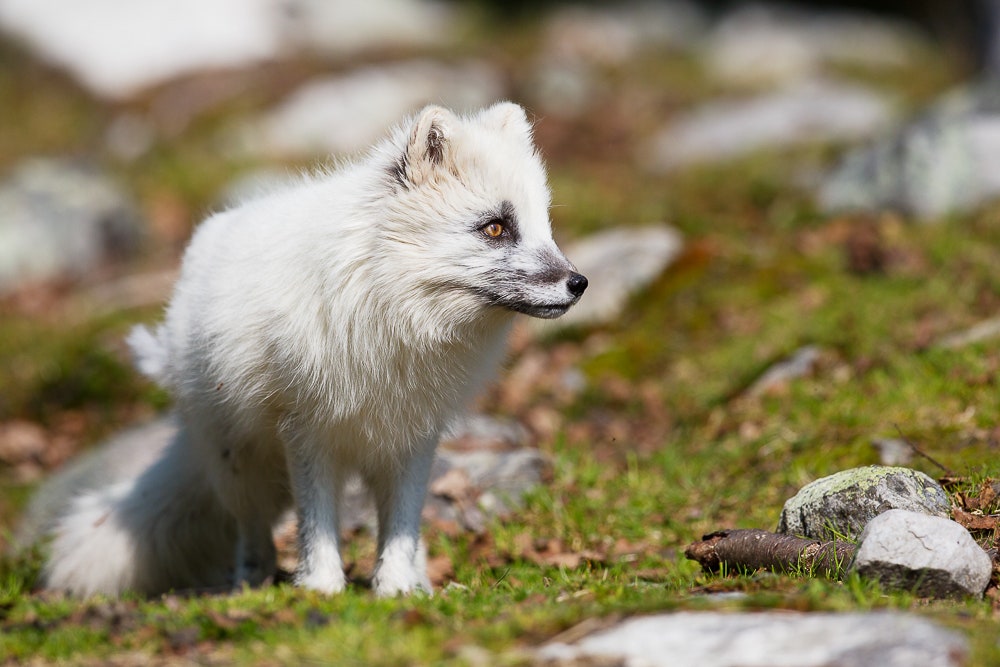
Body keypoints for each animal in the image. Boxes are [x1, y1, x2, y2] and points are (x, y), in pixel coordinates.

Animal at [43, 102, 584, 596]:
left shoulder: (413, 438)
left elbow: (402, 526)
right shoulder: (307, 433)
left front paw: (396, 588)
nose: (578, 284)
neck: (392, 313)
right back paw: (250, 583)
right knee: (252, 531)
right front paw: (322, 587)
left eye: (544, 225)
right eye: (495, 228)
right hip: (238, 461)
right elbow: (316, 525)